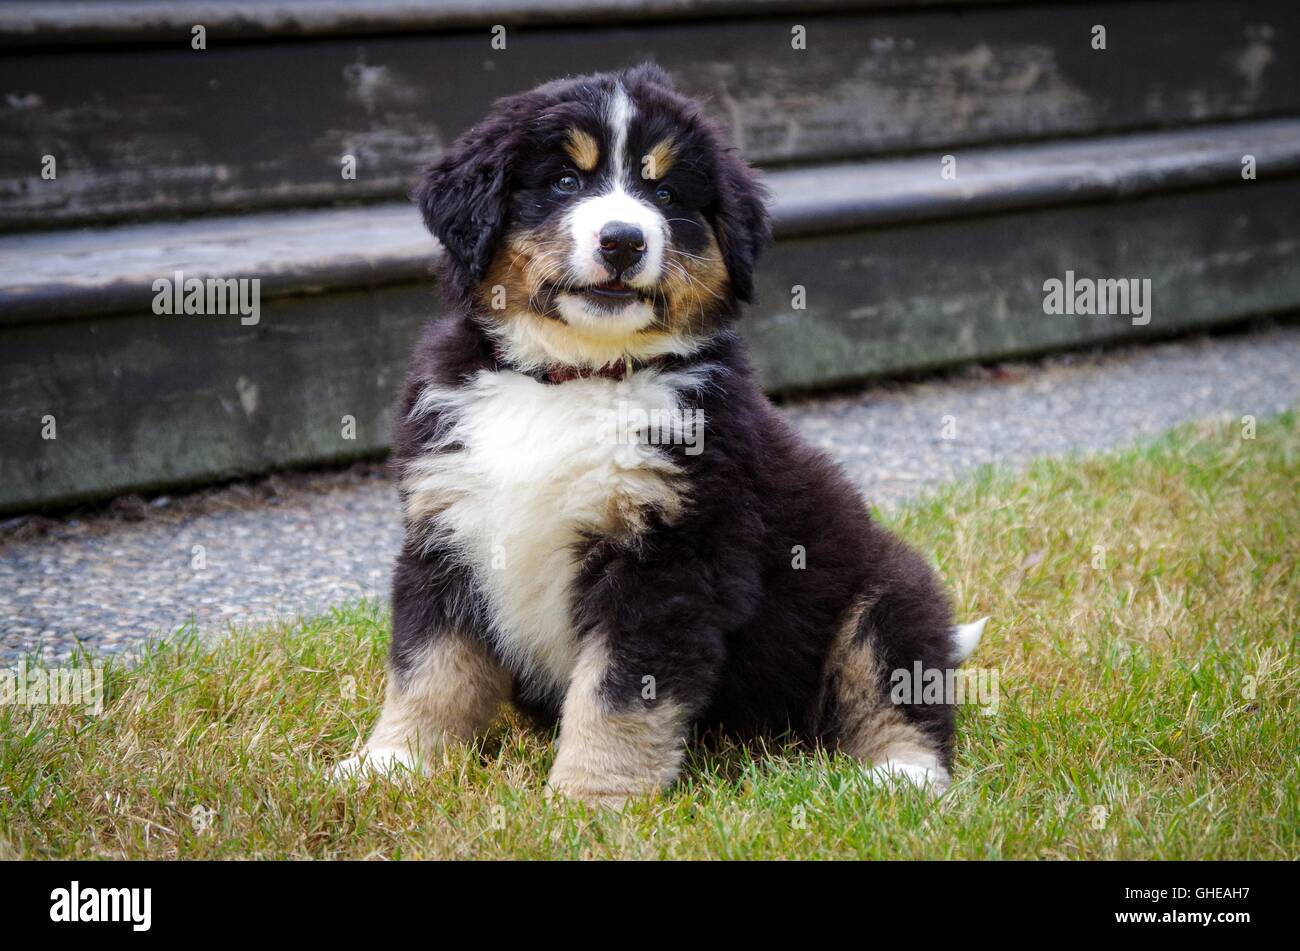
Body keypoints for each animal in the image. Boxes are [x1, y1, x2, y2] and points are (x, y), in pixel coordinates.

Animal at [335, 63, 982, 805]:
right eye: (566, 181)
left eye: (665, 193)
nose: (623, 240)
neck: (575, 376)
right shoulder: (445, 533)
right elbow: (431, 668)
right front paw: (391, 764)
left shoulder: (669, 557)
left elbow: (617, 694)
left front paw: (589, 800)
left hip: (884, 592)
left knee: (894, 686)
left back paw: (898, 777)